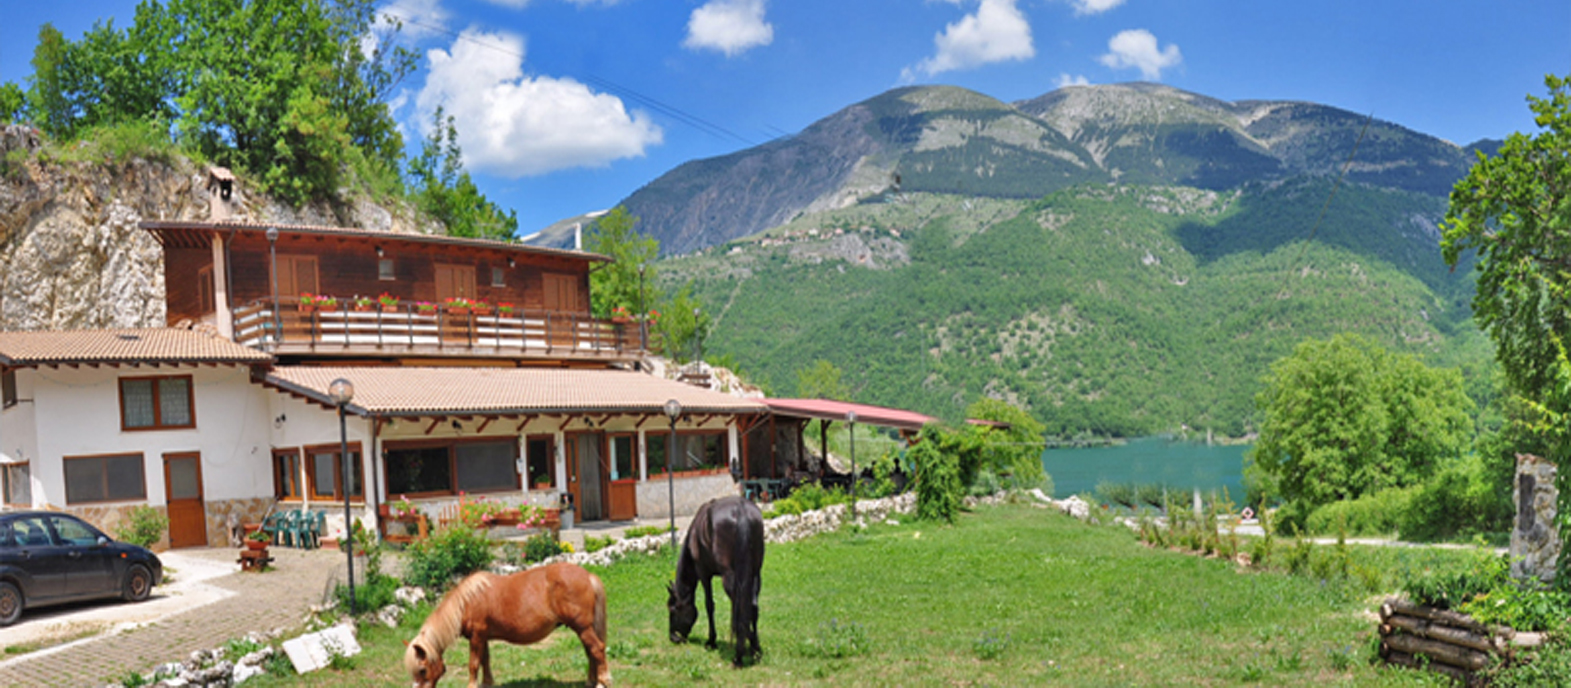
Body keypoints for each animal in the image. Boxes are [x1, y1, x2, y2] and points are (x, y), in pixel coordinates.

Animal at [402, 565, 609, 688]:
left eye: (422, 670)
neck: (467, 602)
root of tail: (588, 575)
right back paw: (591, 681)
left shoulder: (476, 637)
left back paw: (602, 682)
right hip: (583, 629)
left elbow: (473, 664)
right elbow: (485, 660)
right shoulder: (482, 638)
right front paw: (487, 683)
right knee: (590, 652)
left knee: (597, 649)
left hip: (582, 628)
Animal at [666, 493, 763, 666]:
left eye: (672, 609)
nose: (674, 637)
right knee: (752, 606)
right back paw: (754, 649)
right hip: (755, 573)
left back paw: (739, 655)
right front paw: (754, 646)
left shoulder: (704, 575)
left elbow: (709, 605)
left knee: (739, 607)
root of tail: (741, 510)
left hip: (729, 578)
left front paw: (711, 641)